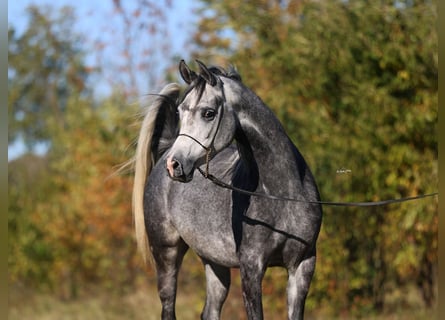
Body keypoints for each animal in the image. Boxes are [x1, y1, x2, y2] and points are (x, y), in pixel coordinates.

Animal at [133, 60, 322, 320]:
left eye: (208, 113)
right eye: (180, 112)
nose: (175, 165)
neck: (283, 195)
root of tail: (165, 150)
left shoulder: (302, 265)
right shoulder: (251, 267)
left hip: (214, 262)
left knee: (210, 311)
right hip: (166, 253)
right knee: (168, 307)